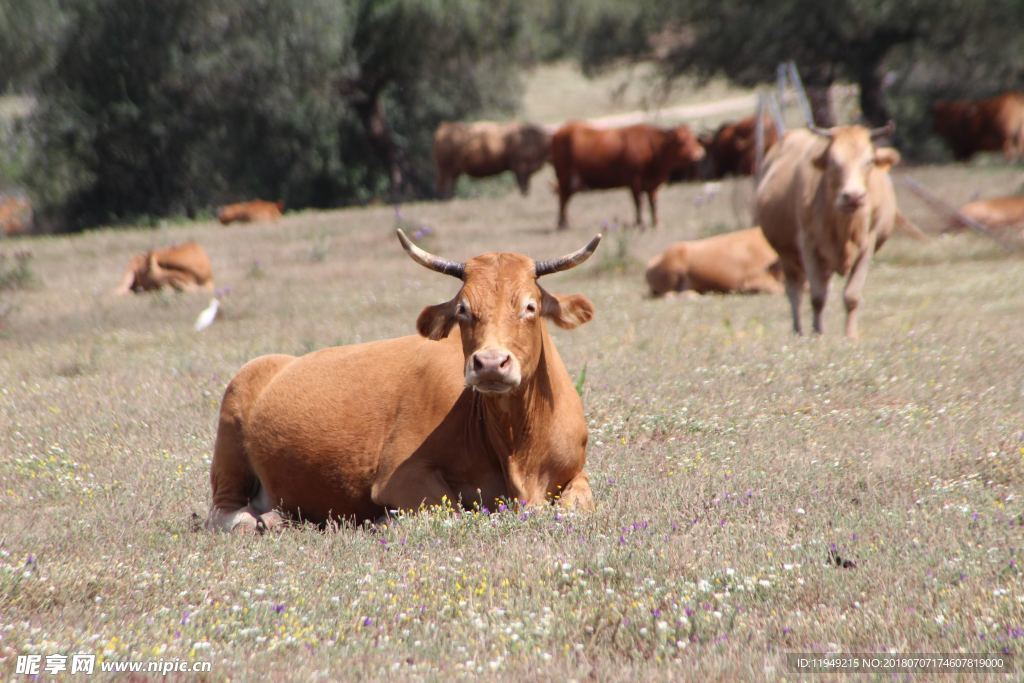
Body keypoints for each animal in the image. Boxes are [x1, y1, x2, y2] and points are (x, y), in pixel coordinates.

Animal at [205, 227, 598, 532]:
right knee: (225, 512)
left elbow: (578, 506)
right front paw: (384, 521)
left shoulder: (576, 472)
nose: (489, 363)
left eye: (530, 307)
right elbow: (450, 509)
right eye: (463, 310)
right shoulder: (400, 476)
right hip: (230, 438)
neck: (519, 447)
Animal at [552, 121, 704, 228]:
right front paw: (639, 222)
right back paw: (562, 224)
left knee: (565, 198)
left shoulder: (652, 185)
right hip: (564, 178)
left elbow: (653, 204)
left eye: (694, 138)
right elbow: (639, 203)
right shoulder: (634, 182)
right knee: (562, 199)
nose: (699, 153)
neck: (652, 149)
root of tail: (561, 131)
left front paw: (656, 223)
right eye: (681, 141)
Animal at [757, 124, 901, 339]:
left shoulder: (868, 245)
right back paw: (798, 330)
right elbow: (817, 296)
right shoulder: (808, 246)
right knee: (795, 292)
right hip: (788, 257)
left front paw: (850, 335)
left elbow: (851, 296)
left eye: (868, 161)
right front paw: (817, 334)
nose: (853, 196)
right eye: (833, 161)